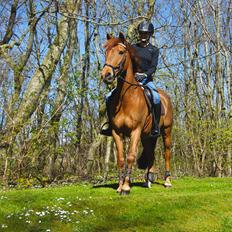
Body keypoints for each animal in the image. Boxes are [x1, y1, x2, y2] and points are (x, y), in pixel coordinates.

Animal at [100, 32, 173, 195]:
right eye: (106, 52)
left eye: (121, 52)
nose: (106, 75)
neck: (126, 98)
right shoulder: (116, 132)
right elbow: (121, 159)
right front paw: (120, 186)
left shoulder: (135, 131)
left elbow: (131, 157)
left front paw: (126, 187)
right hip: (148, 136)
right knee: (151, 153)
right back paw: (148, 180)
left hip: (166, 132)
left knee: (166, 152)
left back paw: (167, 181)